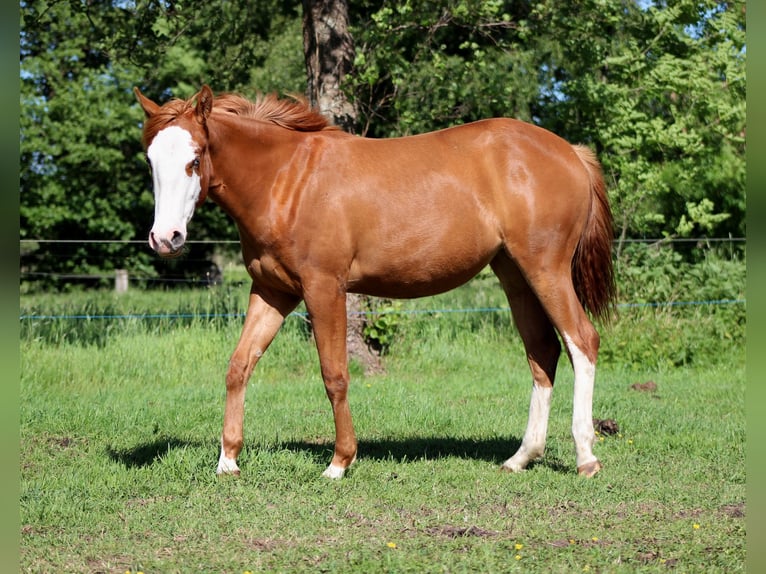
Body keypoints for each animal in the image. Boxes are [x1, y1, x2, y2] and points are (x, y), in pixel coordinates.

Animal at [134, 84, 615, 479]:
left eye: (195, 159)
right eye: (151, 161)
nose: (165, 238)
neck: (285, 181)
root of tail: (570, 152)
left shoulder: (324, 289)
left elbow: (334, 374)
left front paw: (339, 462)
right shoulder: (272, 291)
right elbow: (239, 365)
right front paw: (228, 460)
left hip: (546, 270)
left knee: (581, 341)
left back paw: (586, 456)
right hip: (514, 274)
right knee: (543, 352)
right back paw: (521, 457)